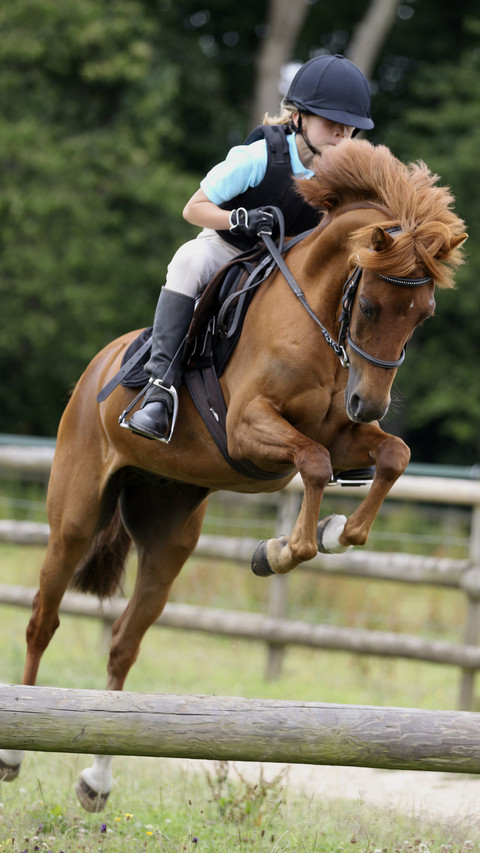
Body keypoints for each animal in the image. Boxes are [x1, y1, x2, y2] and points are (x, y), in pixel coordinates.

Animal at [0, 139, 466, 810]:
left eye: (423, 314)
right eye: (372, 304)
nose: (368, 403)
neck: (317, 314)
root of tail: (98, 368)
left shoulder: (343, 433)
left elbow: (392, 457)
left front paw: (330, 534)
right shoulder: (249, 427)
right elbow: (313, 463)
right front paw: (286, 548)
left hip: (170, 533)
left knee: (124, 642)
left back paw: (97, 779)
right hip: (75, 516)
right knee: (43, 619)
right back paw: (14, 752)